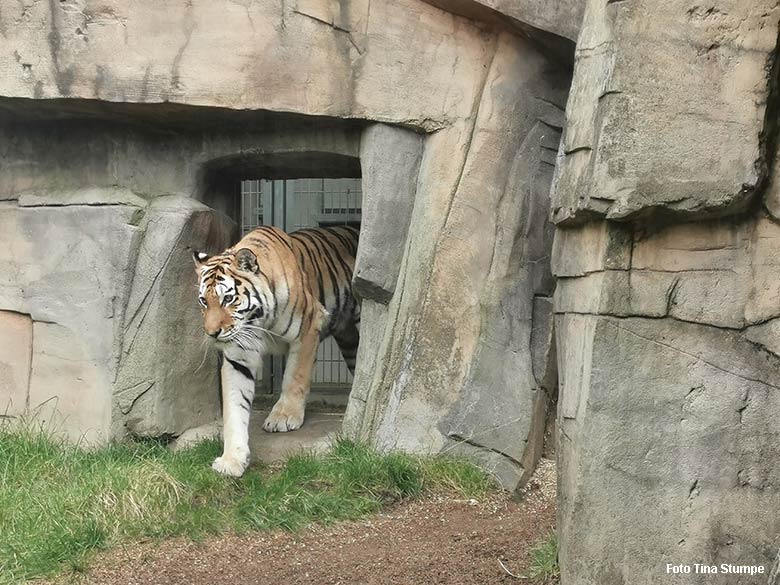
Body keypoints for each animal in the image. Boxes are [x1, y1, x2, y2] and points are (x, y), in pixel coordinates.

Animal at [190, 224, 362, 474]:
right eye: (204, 301)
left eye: (228, 299)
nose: (212, 333)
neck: (258, 319)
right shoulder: (239, 356)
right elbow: (234, 407)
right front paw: (232, 459)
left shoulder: (308, 326)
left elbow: (295, 378)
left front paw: (284, 416)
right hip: (349, 340)